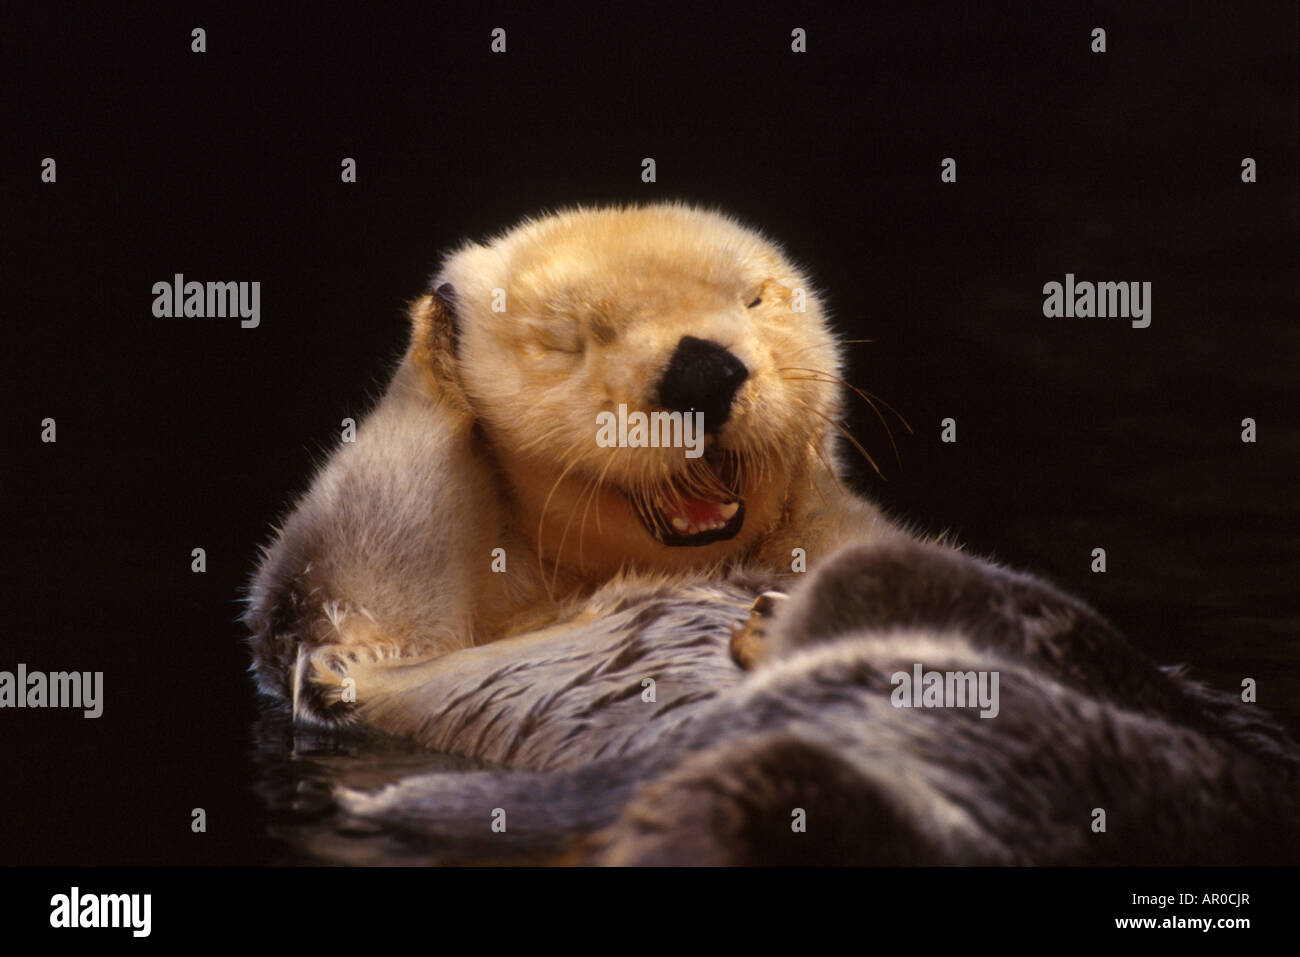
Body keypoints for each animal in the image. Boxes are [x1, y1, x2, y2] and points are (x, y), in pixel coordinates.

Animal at [245, 203, 1300, 864]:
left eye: (754, 299)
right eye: (569, 339)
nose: (703, 367)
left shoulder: (839, 526)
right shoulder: (372, 626)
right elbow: (353, 556)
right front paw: (439, 332)